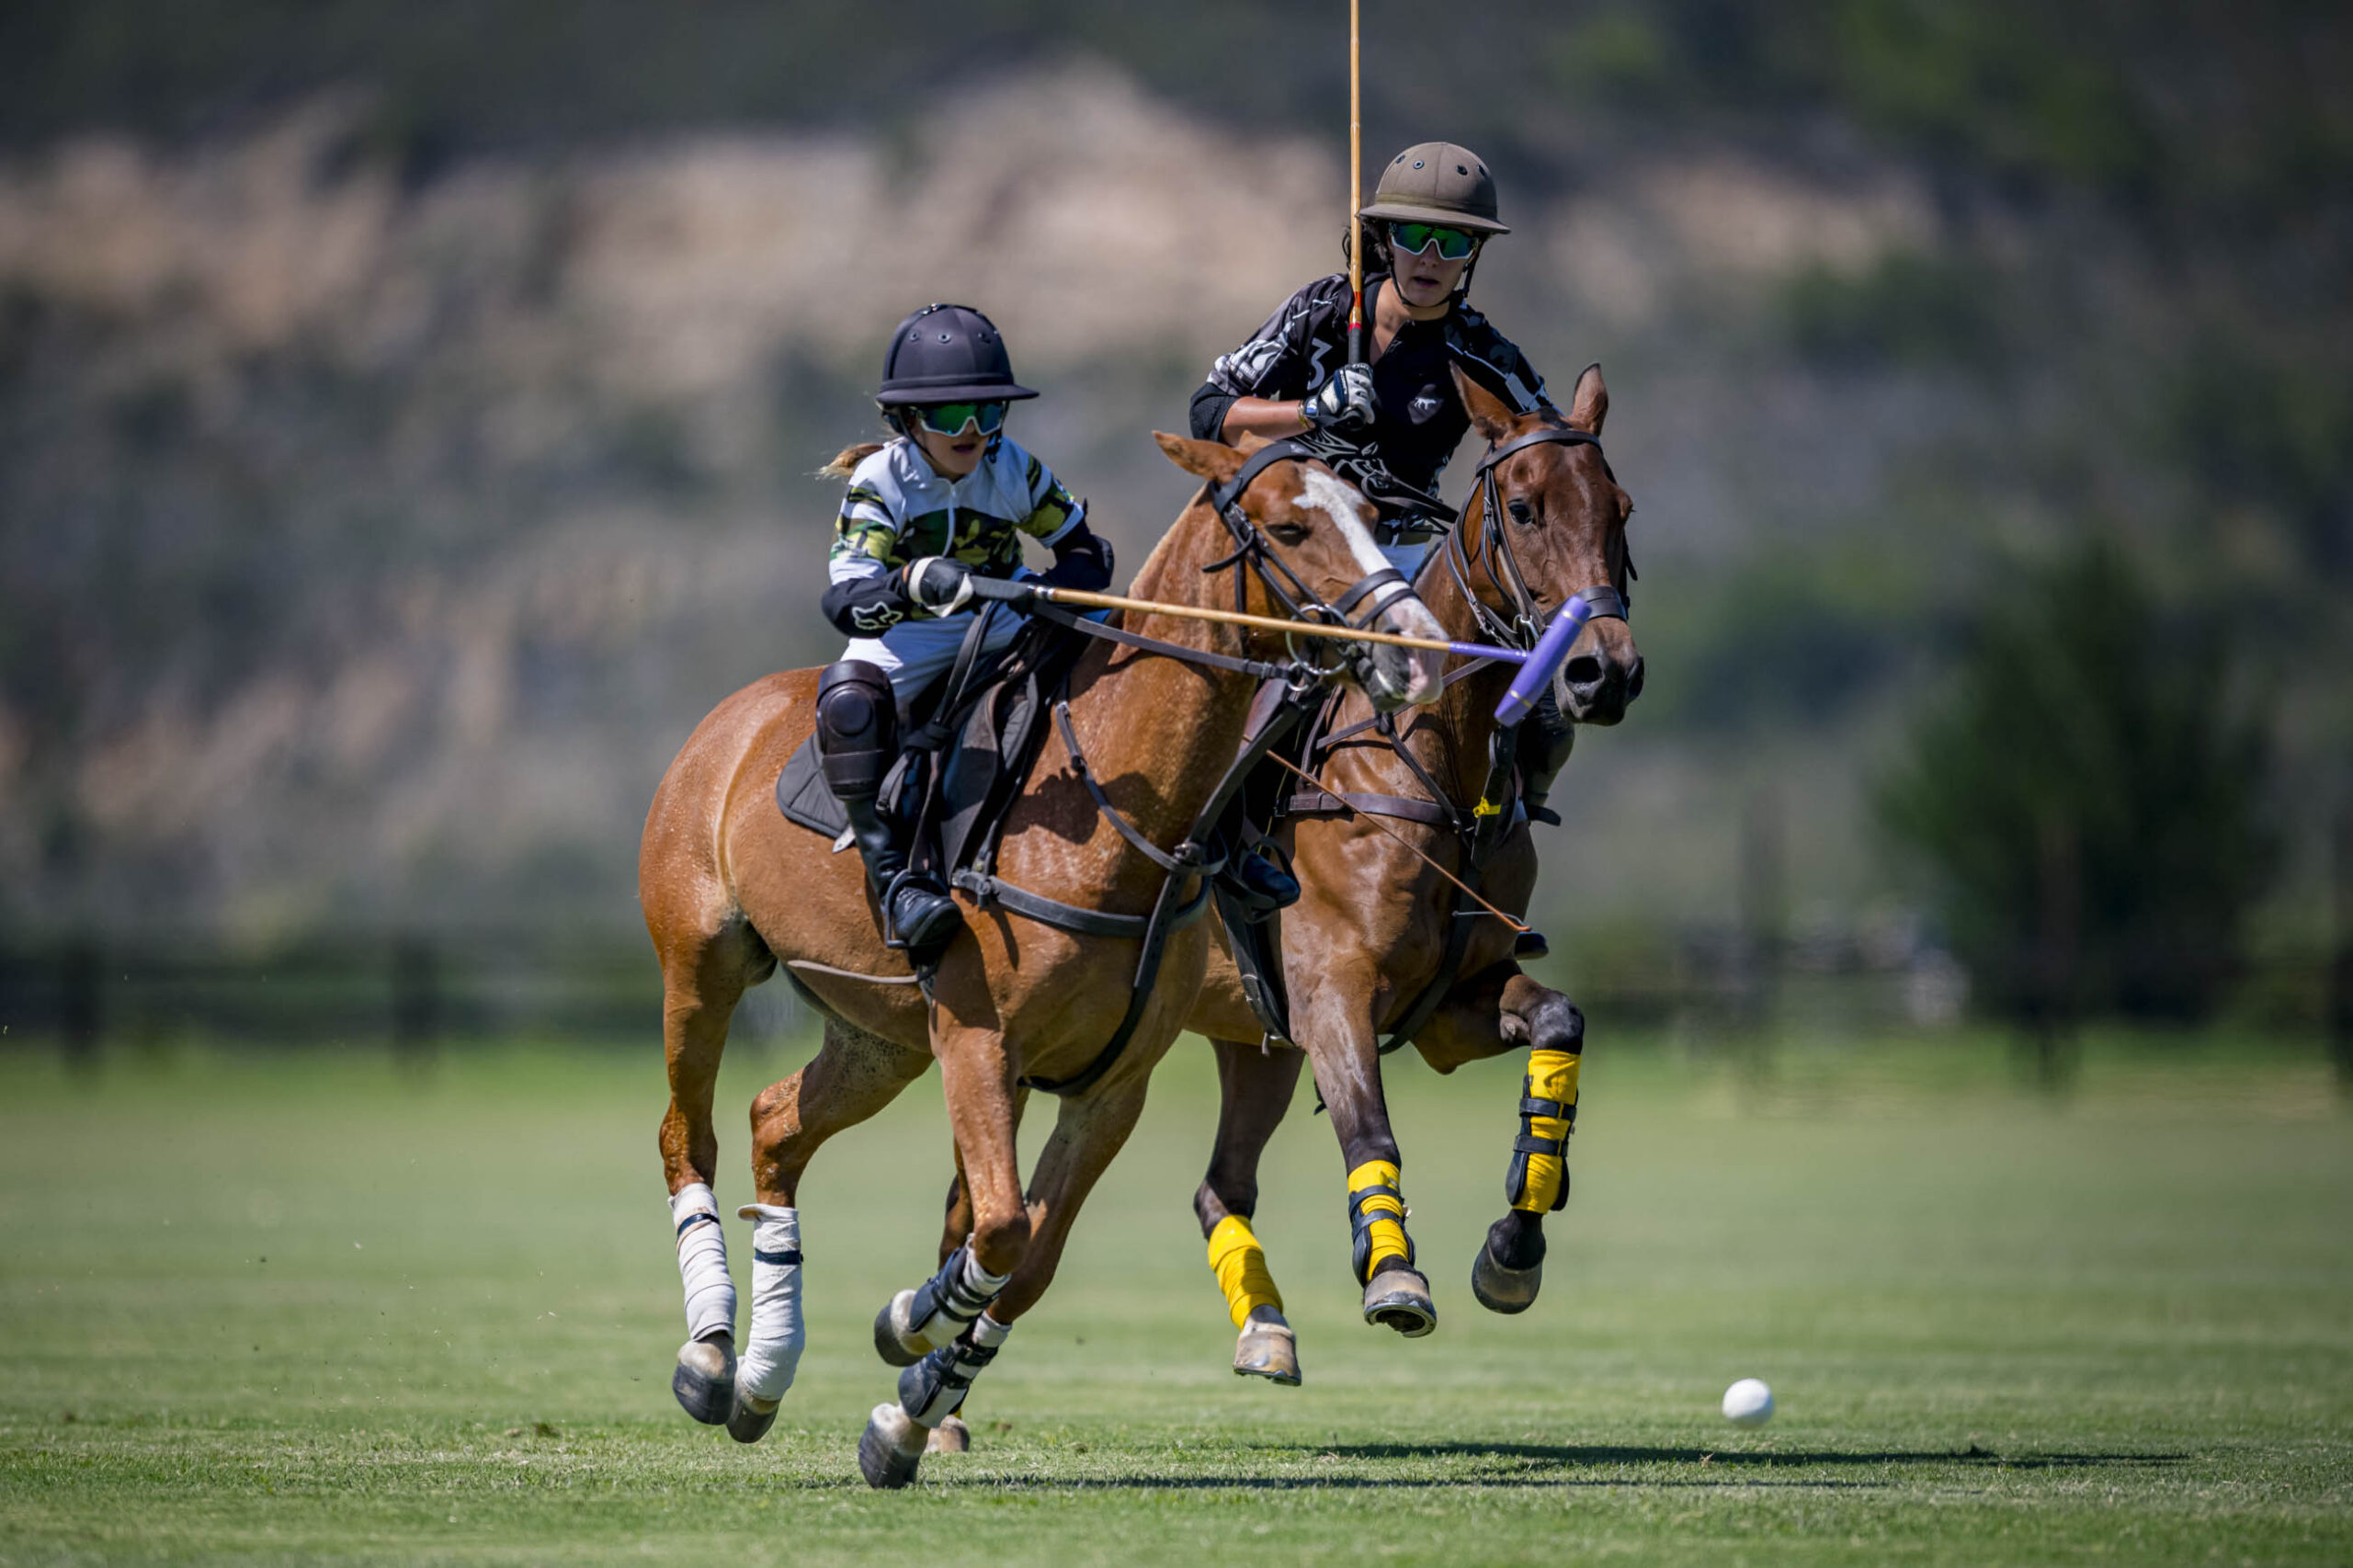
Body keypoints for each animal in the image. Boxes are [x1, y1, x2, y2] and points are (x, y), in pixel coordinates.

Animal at [640, 430, 1447, 1487]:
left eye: (1371, 511)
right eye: (1286, 527)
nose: (1419, 652)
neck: (1122, 822)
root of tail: (723, 723)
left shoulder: (1111, 1086)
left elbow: (1028, 1260)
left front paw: (907, 1399)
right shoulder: (982, 1046)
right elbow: (1001, 1225)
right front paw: (913, 1332)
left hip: (881, 1036)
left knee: (775, 1124)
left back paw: (763, 1377)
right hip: (702, 967)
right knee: (685, 1135)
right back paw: (708, 1354)